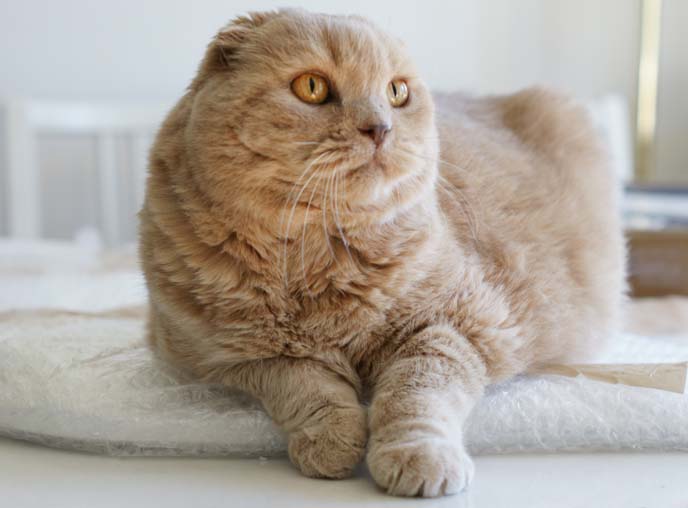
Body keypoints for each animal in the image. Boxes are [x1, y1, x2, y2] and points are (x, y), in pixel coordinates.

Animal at [138, 7, 624, 498]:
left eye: (396, 92)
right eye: (311, 87)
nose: (380, 128)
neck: (320, 258)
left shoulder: (462, 324)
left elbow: (414, 394)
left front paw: (418, 457)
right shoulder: (232, 357)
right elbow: (304, 386)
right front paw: (332, 442)